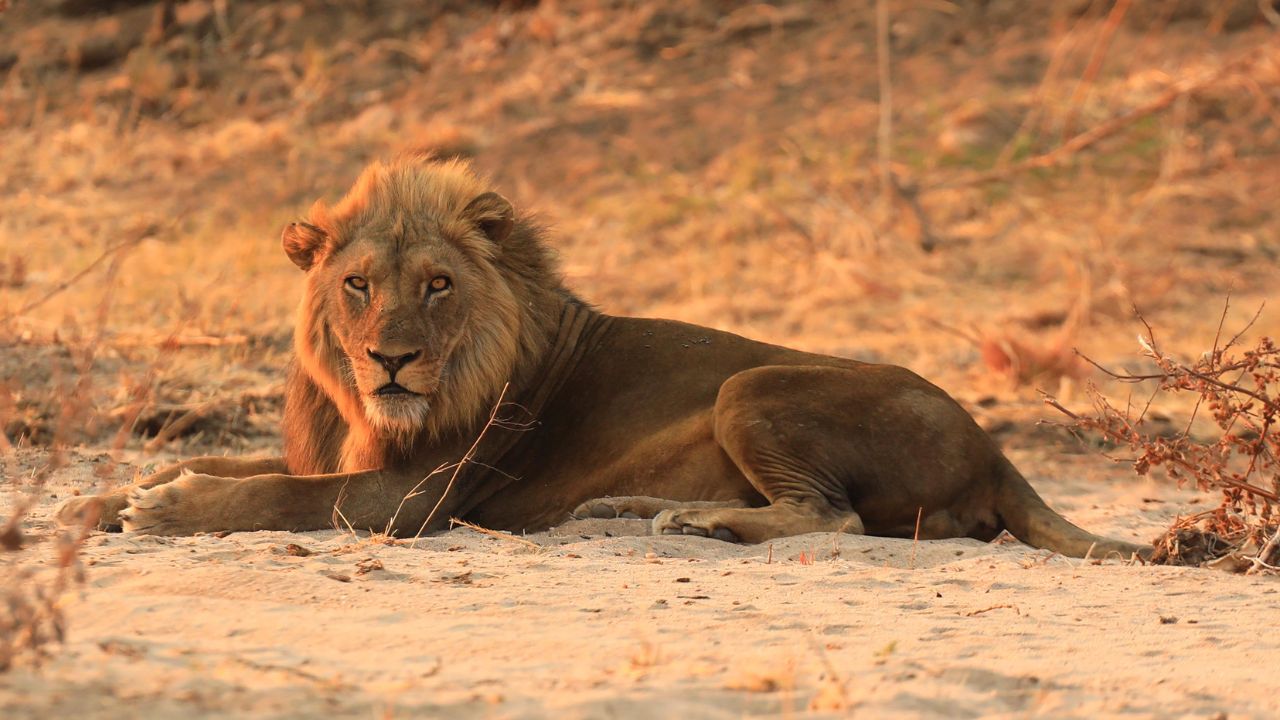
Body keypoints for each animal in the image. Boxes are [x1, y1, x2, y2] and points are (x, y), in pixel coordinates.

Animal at [57, 155, 1149, 559]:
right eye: (358, 284)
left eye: (438, 285)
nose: (391, 361)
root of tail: (996, 448)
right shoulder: (346, 452)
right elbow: (244, 463)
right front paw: (97, 501)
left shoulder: (412, 496)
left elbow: (275, 494)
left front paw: (162, 510)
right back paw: (623, 509)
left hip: (752, 382)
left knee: (830, 518)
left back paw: (688, 519)